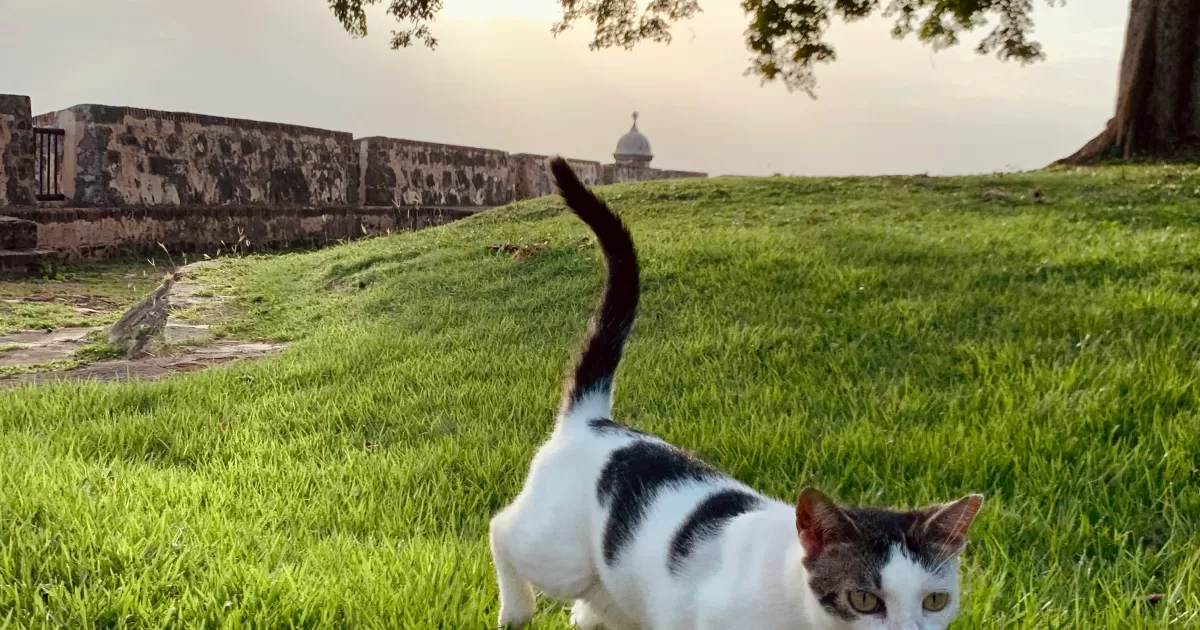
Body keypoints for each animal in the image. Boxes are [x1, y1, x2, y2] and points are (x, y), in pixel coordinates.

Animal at [487, 158, 984, 628]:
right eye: (864, 600)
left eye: (936, 601)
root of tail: (593, 419)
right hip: (558, 554)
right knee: (502, 529)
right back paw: (516, 610)